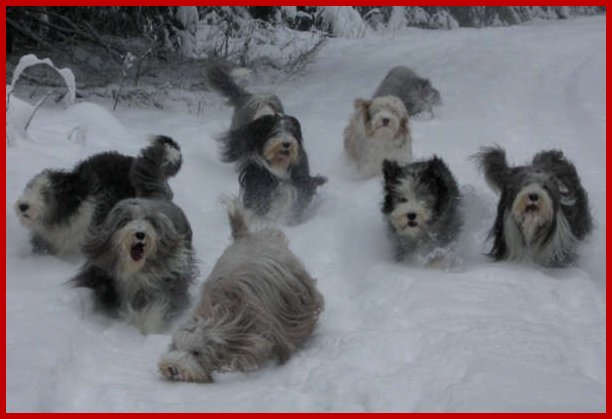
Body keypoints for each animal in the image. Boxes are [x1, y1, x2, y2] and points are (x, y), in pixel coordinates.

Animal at [70, 136, 196, 335]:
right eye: (125, 220)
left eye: (150, 221)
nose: (140, 234)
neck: (133, 270)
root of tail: (159, 197)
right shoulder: (105, 278)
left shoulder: (167, 281)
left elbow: (156, 306)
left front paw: (148, 328)